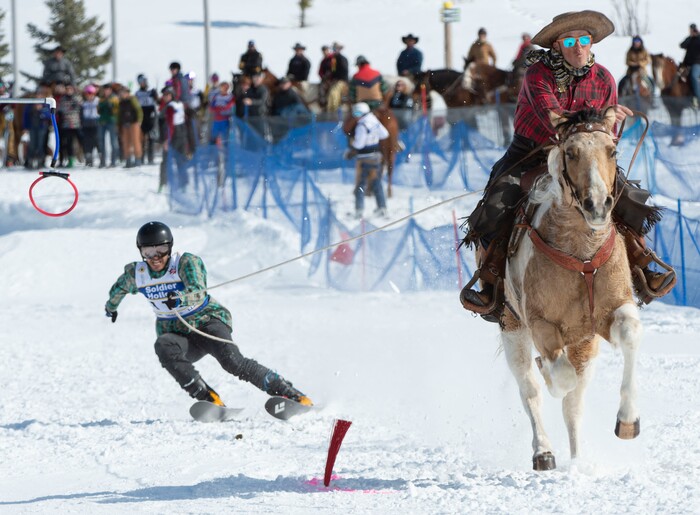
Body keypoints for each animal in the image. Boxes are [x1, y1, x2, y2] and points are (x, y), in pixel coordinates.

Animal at [500, 107, 642, 471]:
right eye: (571, 152)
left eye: (612, 151)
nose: (597, 204)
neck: (581, 253)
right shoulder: (540, 324)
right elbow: (559, 379)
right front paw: (549, 372)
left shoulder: (611, 311)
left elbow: (630, 333)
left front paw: (628, 420)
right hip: (513, 328)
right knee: (531, 390)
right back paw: (543, 452)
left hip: (584, 343)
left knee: (573, 407)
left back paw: (578, 461)